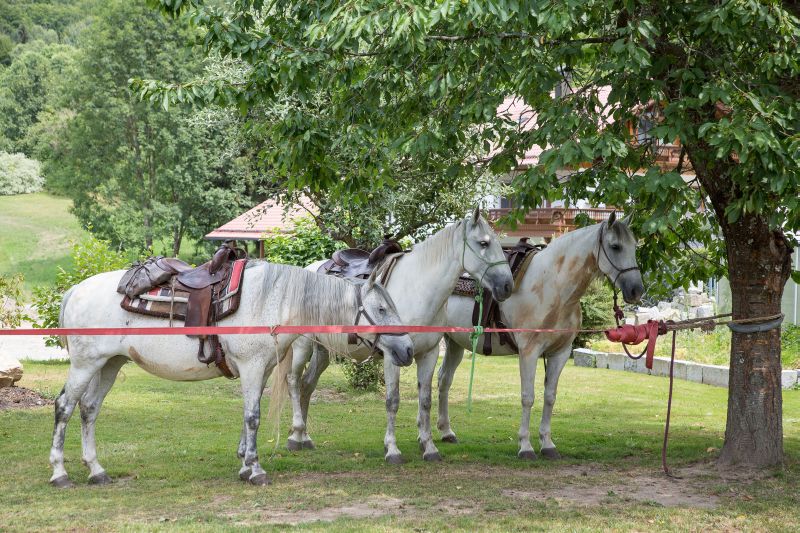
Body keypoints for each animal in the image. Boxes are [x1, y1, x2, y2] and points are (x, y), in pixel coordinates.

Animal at [50, 262, 412, 486]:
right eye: (381, 309)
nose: (407, 349)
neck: (271, 301)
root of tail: (75, 290)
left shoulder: (261, 369)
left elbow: (248, 415)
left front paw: (243, 465)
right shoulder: (252, 367)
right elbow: (253, 417)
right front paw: (256, 470)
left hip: (109, 364)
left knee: (89, 409)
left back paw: (97, 471)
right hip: (85, 364)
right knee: (64, 407)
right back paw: (60, 474)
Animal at [438, 214, 644, 460]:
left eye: (634, 246)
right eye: (615, 246)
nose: (636, 290)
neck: (552, 287)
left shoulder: (560, 353)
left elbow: (550, 396)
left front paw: (547, 444)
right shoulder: (529, 352)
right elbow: (528, 397)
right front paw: (525, 446)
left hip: (454, 344)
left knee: (444, 380)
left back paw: (446, 432)